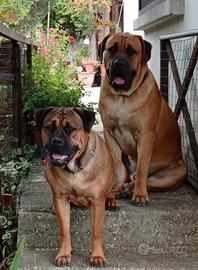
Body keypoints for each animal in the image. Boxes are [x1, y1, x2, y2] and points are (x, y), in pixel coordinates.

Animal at [34, 106, 126, 266]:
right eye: (49, 127)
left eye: (70, 129)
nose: (56, 141)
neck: (74, 170)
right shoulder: (61, 199)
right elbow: (64, 230)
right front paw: (64, 254)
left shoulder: (97, 202)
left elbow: (96, 232)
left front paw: (97, 255)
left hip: (121, 170)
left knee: (112, 192)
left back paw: (112, 202)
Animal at [99, 32, 187, 205]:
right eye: (111, 49)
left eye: (131, 51)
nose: (118, 63)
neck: (122, 98)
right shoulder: (109, 133)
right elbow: (117, 166)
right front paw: (111, 194)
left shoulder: (145, 135)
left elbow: (141, 169)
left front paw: (139, 194)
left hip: (177, 172)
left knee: (148, 180)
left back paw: (129, 189)